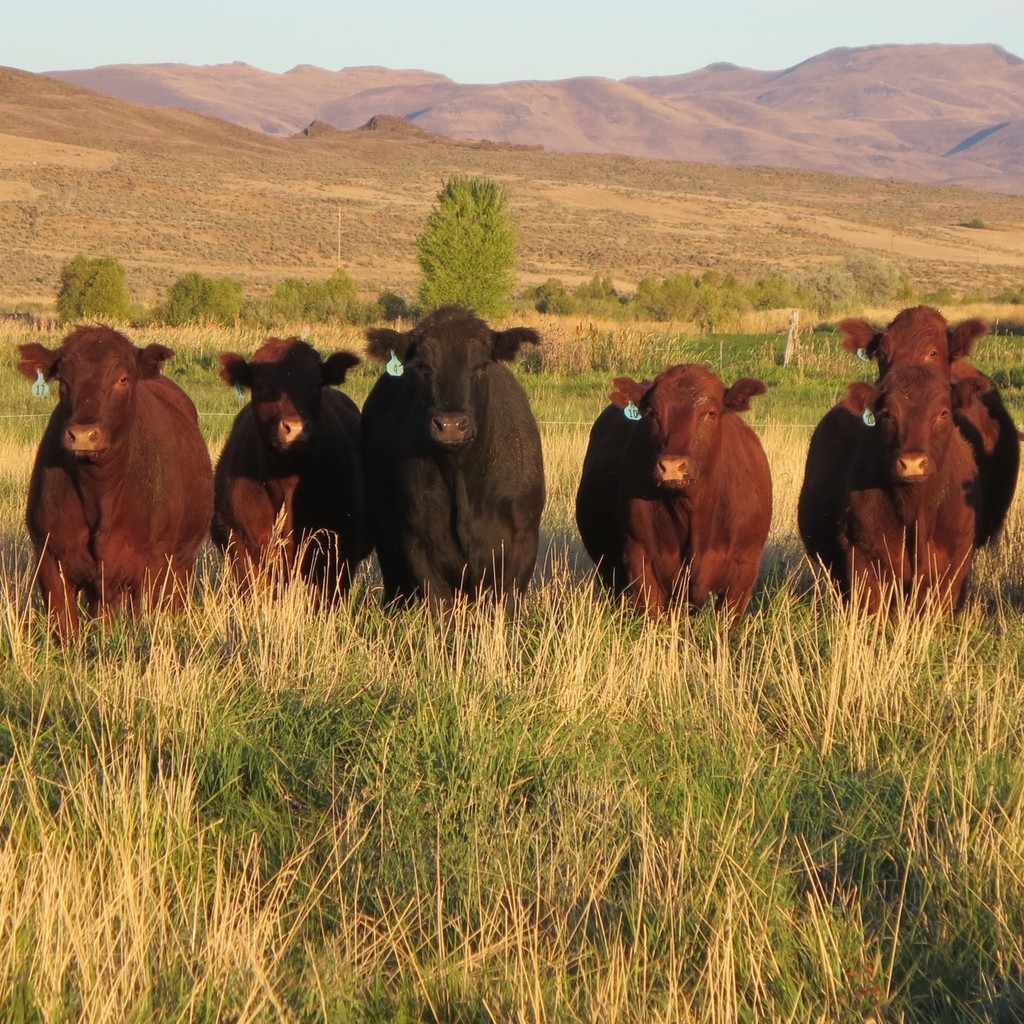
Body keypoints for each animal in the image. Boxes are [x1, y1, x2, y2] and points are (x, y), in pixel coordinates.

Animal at [18, 327, 212, 634]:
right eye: (63, 381)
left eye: (122, 379)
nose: (83, 435)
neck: (100, 494)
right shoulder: (49, 559)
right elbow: (66, 629)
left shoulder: (154, 567)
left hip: (181, 564)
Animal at [211, 337, 372, 598]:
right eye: (260, 385)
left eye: (316, 384)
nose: (295, 428)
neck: (285, 483)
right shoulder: (241, 545)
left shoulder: (337, 551)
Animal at [794, 364, 978, 610]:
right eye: (888, 414)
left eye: (943, 413)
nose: (913, 463)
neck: (916, 511)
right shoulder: (864, 556)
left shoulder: (954, 564)